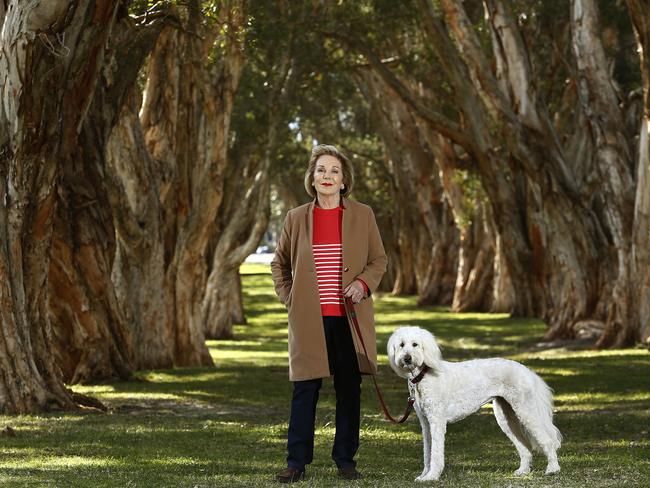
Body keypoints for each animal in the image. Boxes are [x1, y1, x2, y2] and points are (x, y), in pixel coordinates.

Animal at [388, 326, 560, 482]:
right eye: (402, 345)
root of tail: (527, 371)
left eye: (415, 344)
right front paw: (425, 475)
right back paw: (523, 471)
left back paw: (553, 469)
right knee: (525, 448)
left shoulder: (437, 421)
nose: (407, 358)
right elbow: (427, 452)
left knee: (548, 441)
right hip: (506, 417)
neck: (423, 376)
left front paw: (432, 476)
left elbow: (435, 453)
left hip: (526, 411)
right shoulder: (425, 423)